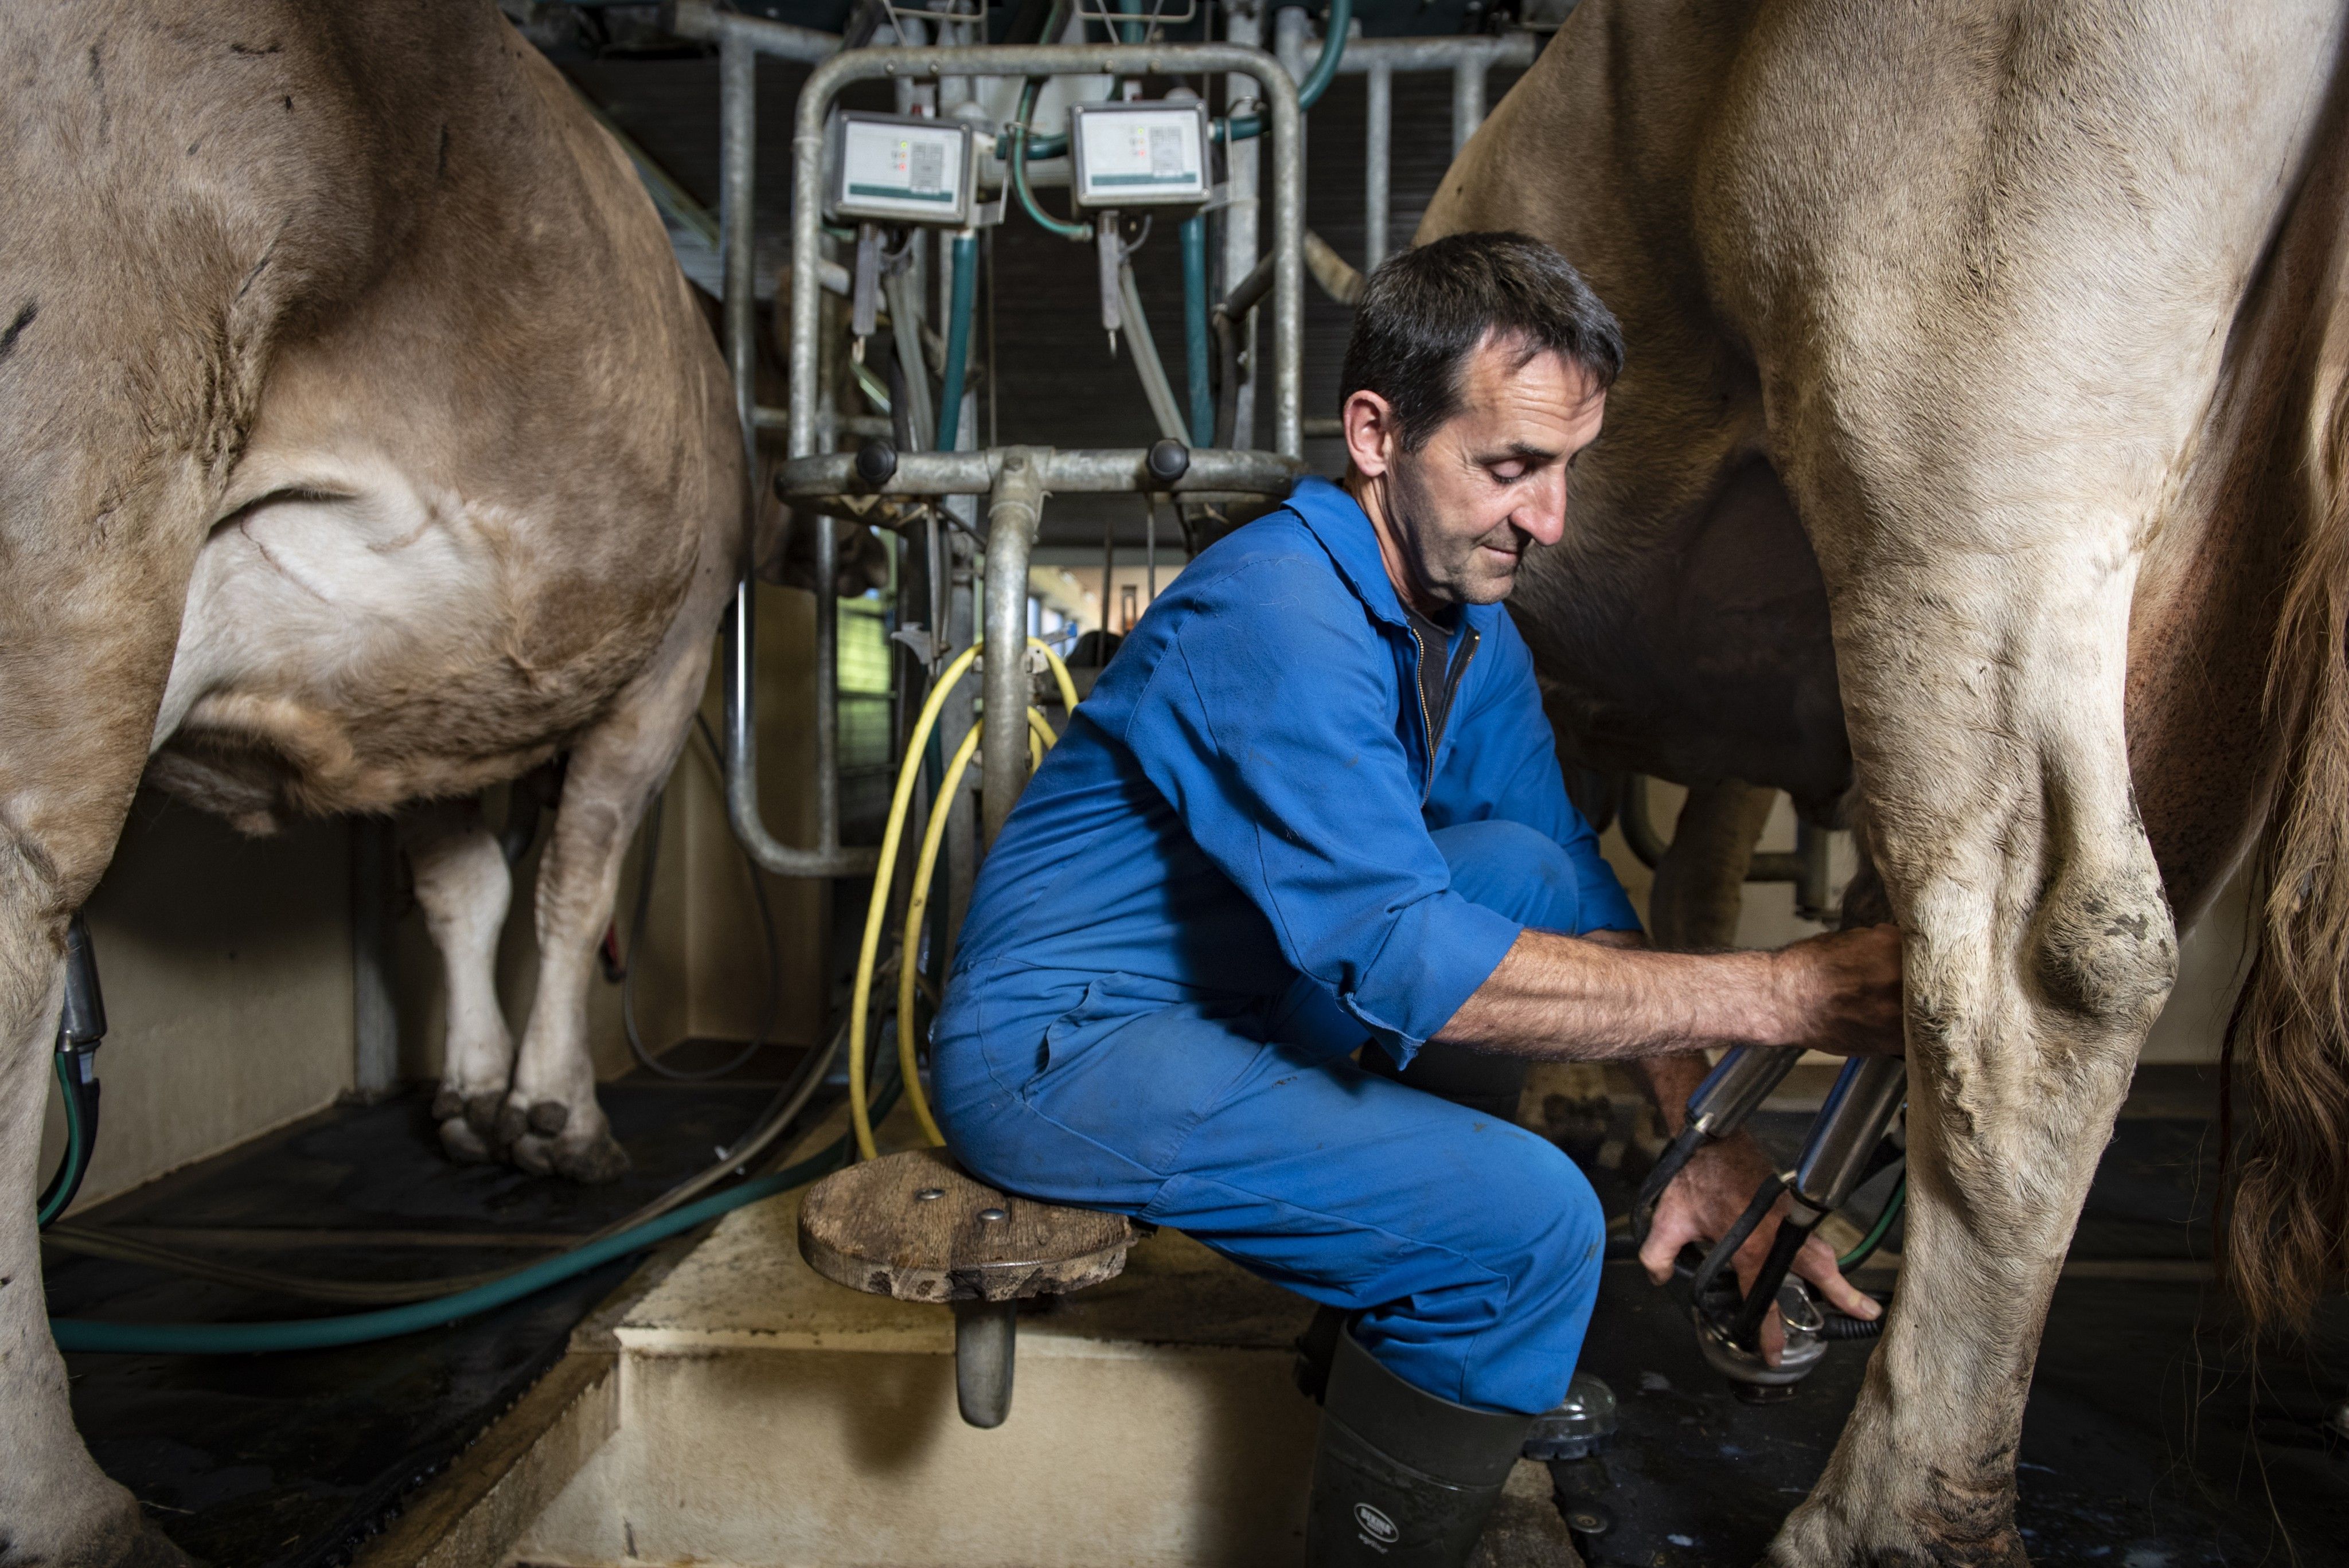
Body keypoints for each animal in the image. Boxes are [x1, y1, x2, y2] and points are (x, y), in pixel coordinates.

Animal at [0, 0, 761, 1558]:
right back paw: (68, 1499)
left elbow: (464, 891)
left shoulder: (425, 714)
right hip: (77, 517)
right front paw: (556, 1110)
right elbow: (572, 875)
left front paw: (473, 1096)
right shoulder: (667, 656)